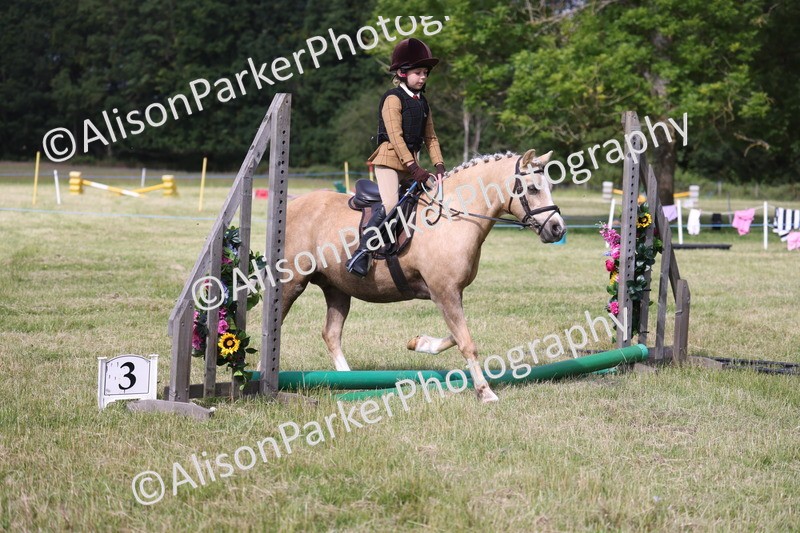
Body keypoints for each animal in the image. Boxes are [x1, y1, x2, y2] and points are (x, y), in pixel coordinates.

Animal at [279, 149, 565, 402]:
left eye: (550, 186)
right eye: (532, 189)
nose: (557, 229)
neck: (453, 216)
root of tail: (293, 205)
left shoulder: (449, 293)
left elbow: (457, 336)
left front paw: (419, 343)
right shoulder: (444, 292)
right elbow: (466, 342)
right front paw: (486, 393)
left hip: (337, 288)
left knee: (331, 334)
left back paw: (350, 382)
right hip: (291, 284)